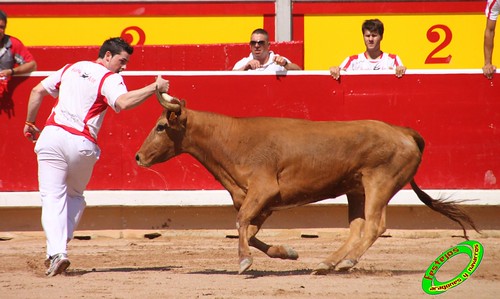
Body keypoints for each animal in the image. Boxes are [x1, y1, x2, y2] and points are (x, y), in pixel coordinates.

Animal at [135, 92, 478, 276]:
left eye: (161, 126)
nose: (138, 157)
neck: (231, 139)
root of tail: (403, 131)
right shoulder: (262, 202)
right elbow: (250, 230)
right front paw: (287, 252)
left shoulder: (264, 191)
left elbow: (242, 222)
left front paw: (244, 262)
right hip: (356, 190)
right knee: (357, 227)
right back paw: (327, 264)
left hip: (379, 183)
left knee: (374, 225)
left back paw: (346, 262)